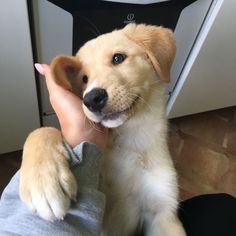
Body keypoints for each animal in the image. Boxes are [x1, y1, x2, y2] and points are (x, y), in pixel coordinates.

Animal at [19, 24, 186, 236]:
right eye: (84, 78)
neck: (129, 138)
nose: (91, 99)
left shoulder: (162, 212)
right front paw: (43, 180)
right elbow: (43, 130)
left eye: (118, 58)